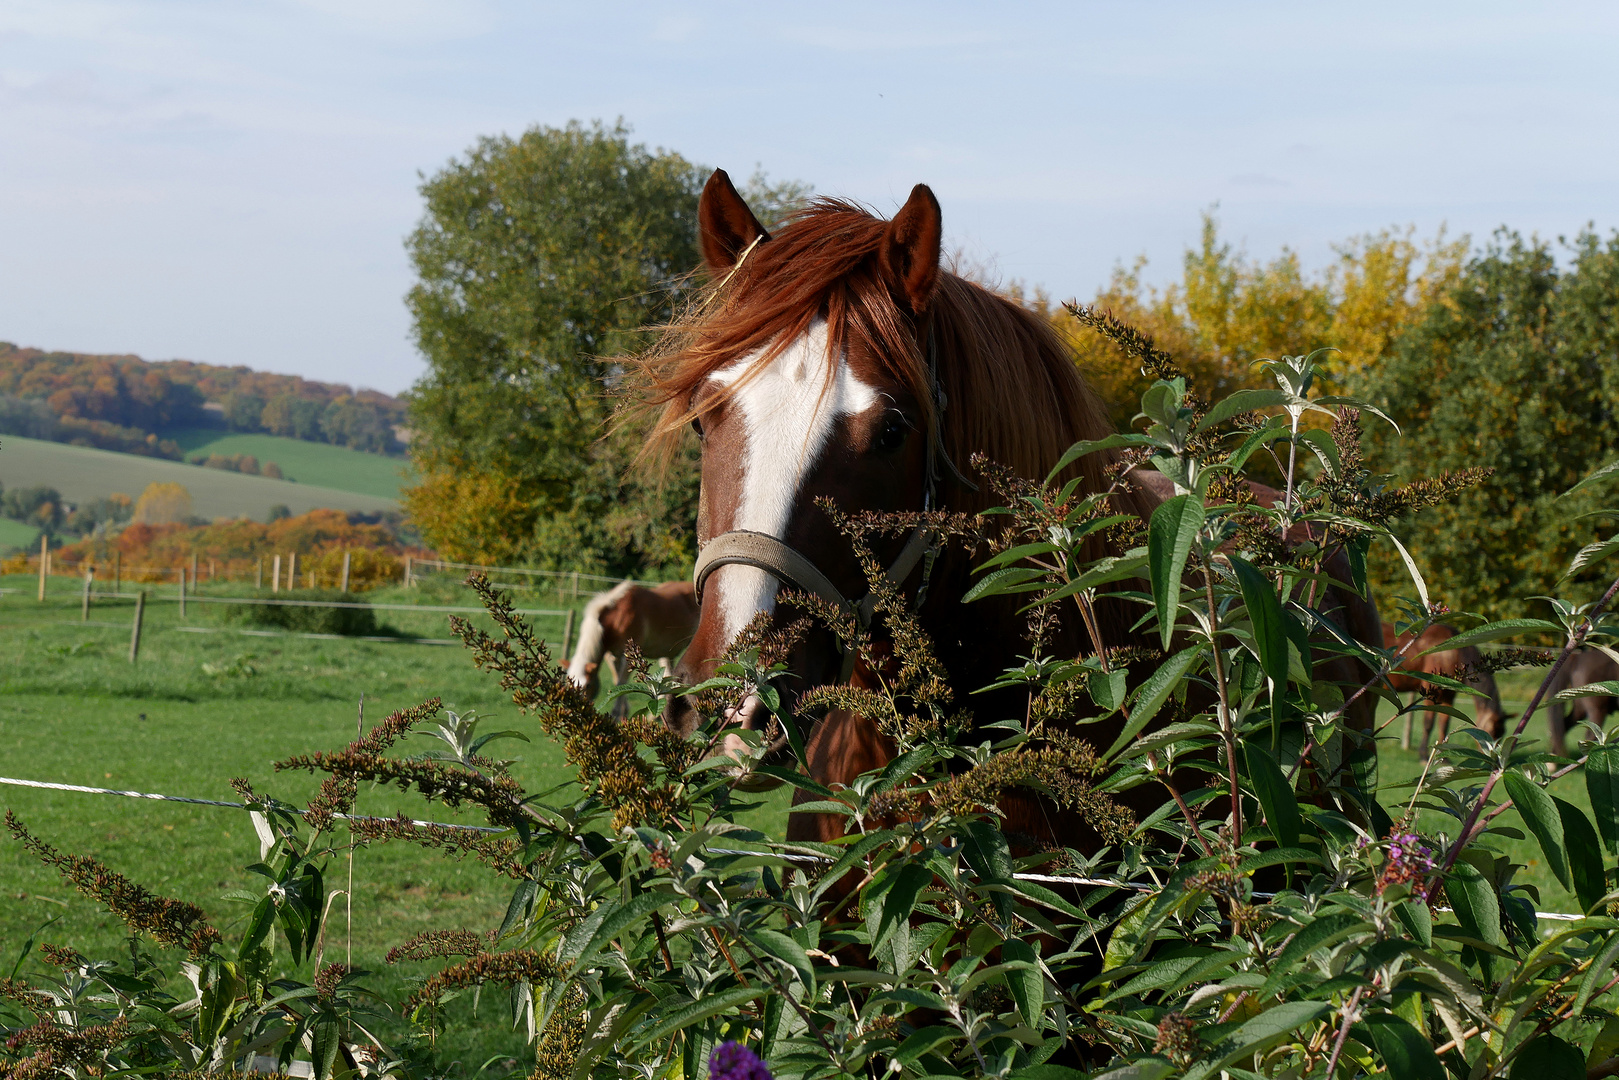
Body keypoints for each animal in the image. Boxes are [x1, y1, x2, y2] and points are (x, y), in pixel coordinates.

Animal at [566, 579, 699, 712]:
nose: (578, 708)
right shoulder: (612, 657)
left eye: (587, 685)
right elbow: (617, 682)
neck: (617, 615)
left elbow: (621, 682)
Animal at [1379, 621, 1502, 757]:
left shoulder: (1448, 696)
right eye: (1490, 731)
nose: (1493, 756)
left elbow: (1444, 724)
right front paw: (1423, 755)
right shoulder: (1430, 691)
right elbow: (1428, 723)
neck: (1454, 652)